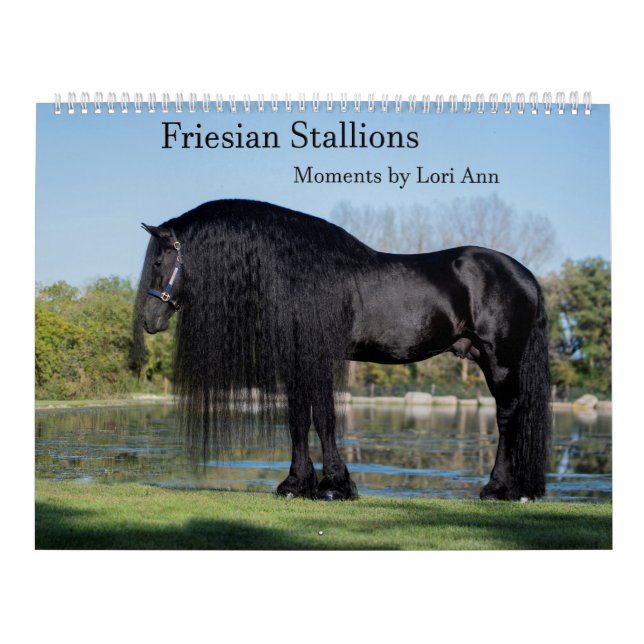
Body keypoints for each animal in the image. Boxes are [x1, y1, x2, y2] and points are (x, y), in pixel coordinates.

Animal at [132, 199, 551, 501]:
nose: (149, 320)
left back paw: (498, 489)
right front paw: (295, 485)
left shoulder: (316, 357)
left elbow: (324, 418)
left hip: (500, 361)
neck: (296, 273)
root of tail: (525, 275)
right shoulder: (297, 359)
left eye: (159, 260)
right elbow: (298, 420)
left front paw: (334, 485)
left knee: (506, 418)